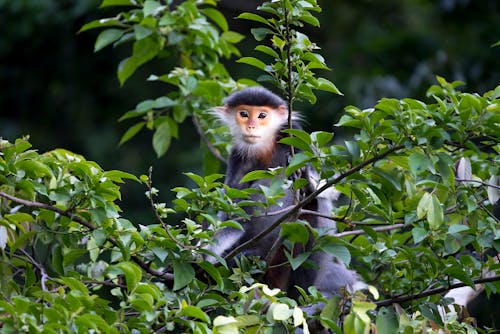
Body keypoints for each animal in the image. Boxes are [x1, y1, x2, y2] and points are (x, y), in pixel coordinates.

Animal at [205, 86, 362, 324]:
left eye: (262, 115)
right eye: (244, 114)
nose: (251, 126)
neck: (266, 147)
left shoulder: (296, 137)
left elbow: (326, 190)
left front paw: (308, 181)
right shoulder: (238, 156)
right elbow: (234, 213)